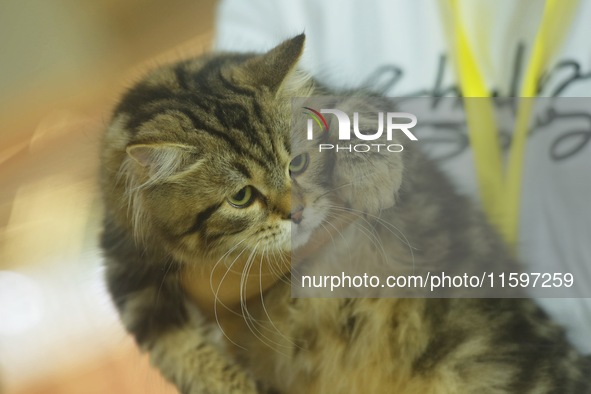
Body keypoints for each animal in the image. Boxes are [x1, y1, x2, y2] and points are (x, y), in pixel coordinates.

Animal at [102, 35, 591, 392]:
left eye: (297, 164)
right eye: (241, 196)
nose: (297, 212)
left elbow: (361, 109)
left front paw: (371, 177)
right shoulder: (132, 280)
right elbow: (187, 355)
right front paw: (233, 385)